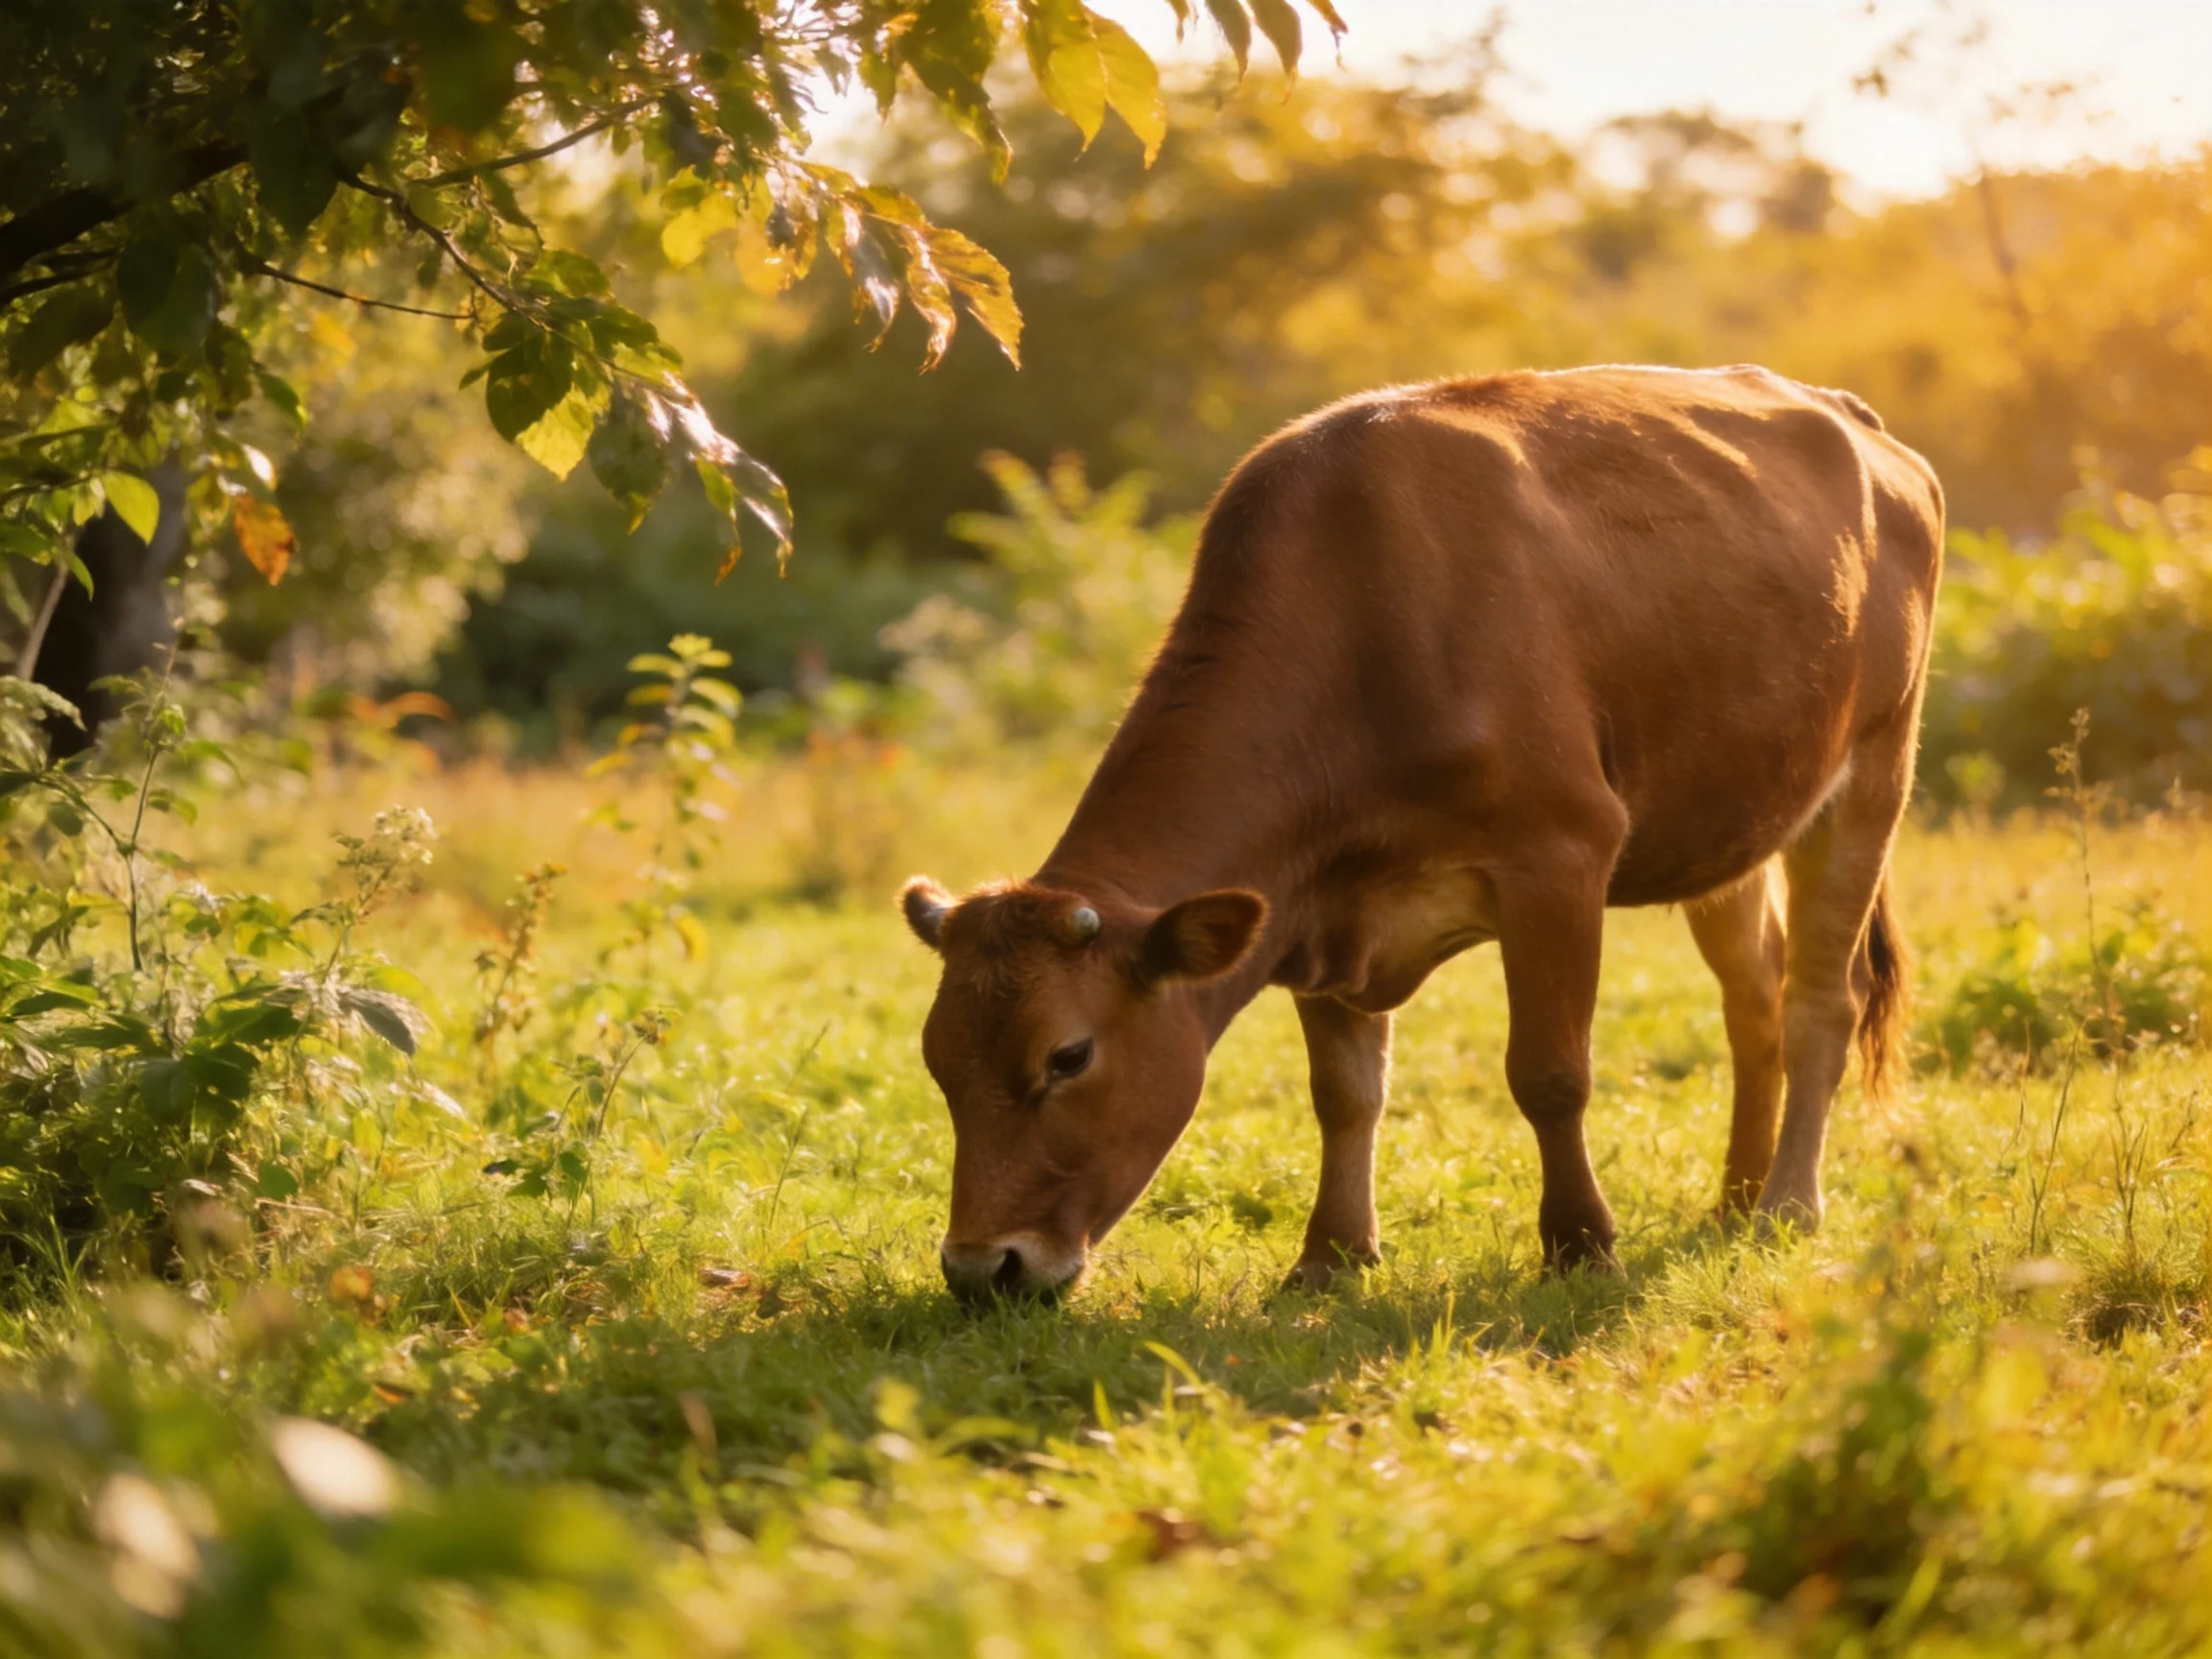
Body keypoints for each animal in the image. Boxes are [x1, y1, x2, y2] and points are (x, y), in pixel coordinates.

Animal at [901, 365, 1944, 1303]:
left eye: (1067, 1058)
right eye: (937, 1061)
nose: (983, 1269)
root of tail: (1850, 416)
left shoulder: (1560, 855)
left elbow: (1550, 1073)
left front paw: (1581, 1247)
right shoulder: (1315, 903)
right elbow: (1344, 1093)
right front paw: (1330, 1255)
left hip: (1873, 771)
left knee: (1822, 1000)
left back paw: (1787, 1204)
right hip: (1726, 817)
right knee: (1753, 995)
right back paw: (1734, 1195)